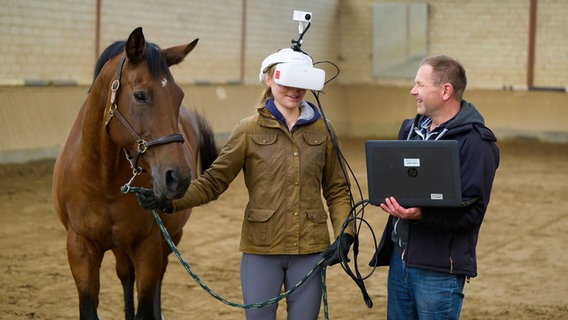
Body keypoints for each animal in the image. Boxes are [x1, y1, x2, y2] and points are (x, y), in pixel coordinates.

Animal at [52, 28, 217, 320]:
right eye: (140, 96)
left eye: (178, 96)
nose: (178, 178)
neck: (102, 181)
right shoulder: (80, 249)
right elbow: (90, 306)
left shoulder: (147, 248)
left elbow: (146, 305)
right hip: (121, 247)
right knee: (125, 275)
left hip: (170, 238)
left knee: (158, 275)